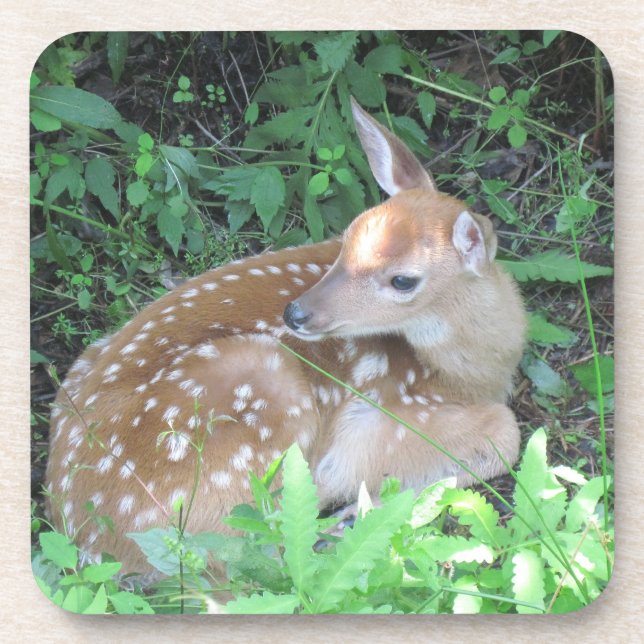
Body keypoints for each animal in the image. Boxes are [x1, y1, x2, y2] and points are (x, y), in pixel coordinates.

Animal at [45, 98, 526, 575]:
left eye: (403, 280)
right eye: (347, 238)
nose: (296, 312)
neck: (470, 374)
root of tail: (87, 539)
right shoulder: (381, 417)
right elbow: (506, 435)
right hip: (261, 394)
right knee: (256, 554)